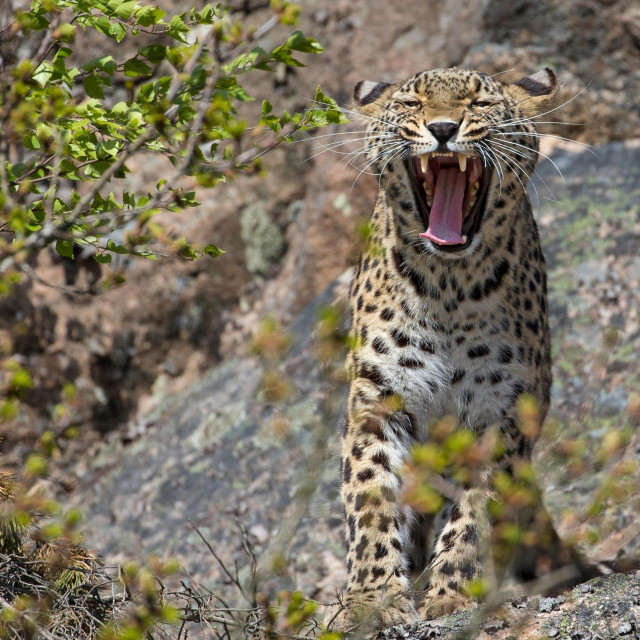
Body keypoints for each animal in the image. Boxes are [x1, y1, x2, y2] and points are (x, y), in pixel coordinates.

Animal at [324, 66, 597, 632]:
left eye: (479, 103)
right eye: (413, 102)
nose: (444, 128)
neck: (449, 286)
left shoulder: (499, 413)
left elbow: (475, 514)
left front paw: (451, 596)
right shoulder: (377, 400)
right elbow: (371, 497)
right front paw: (372, 598)